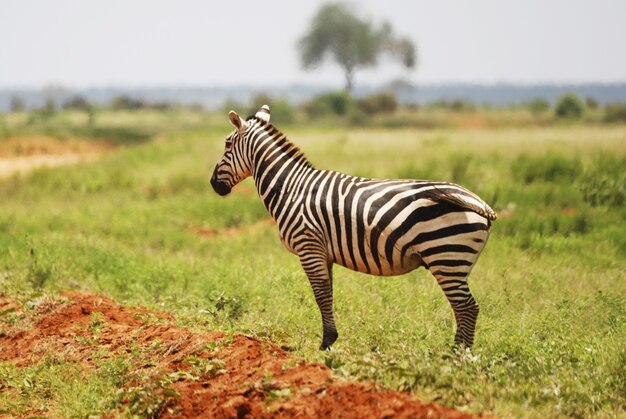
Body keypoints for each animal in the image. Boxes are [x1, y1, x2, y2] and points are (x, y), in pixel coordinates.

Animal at [212, 105, 494, 352]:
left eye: (227, 144)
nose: (214, 185)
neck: (292, 188)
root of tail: (479, 202)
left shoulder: (308, 245)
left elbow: (320, 295)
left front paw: (326, 344)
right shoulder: (322, 252)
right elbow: (328, 294)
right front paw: (330, 338)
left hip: (446, 255)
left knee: (467, 307)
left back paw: (458, 355)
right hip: (454, 261)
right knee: (465, 307)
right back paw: (455, 352)